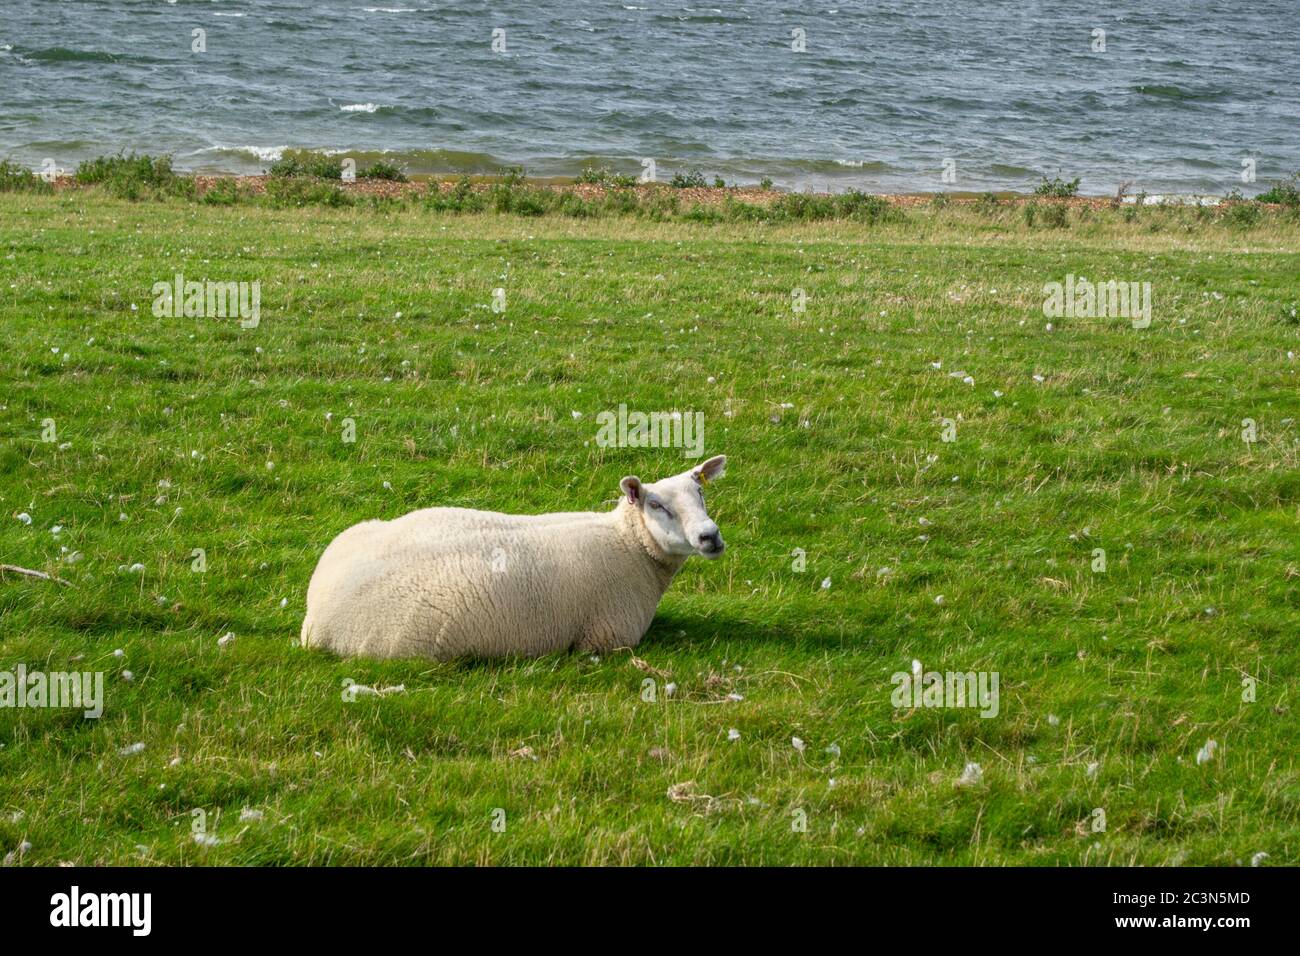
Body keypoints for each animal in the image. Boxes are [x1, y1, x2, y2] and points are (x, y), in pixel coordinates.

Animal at [304, 455, 733, 660]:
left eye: (700, 492)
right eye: (656, 505)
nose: (709, 536)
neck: (629, 546)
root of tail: (313, 613)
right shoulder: (606, 639)